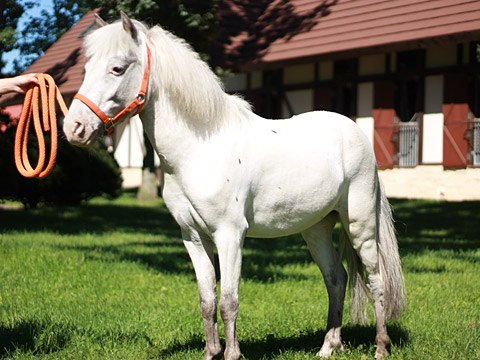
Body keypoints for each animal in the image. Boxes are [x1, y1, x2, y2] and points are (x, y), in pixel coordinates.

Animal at [62, 12, 404, 358]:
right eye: (87, 69)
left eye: (117, 68)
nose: (73, 128)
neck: (200, 148)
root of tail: (355, 132)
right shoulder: (193, 237)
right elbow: (207, 299)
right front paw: (211, 352)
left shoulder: (229, 235)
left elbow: (229, 301)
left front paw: (231, 353)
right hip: (316, 228)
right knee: (336, 278)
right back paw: (327, 347)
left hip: (360, 225)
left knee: (376, 279)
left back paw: (381, 347)